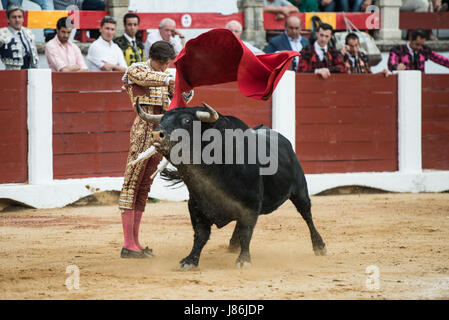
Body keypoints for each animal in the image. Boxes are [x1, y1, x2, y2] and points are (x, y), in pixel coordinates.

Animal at [134, 100, 326, 270]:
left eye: (187, 121)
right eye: (162, 119)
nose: (157, 134)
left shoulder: (251, 204)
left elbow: (247, 231)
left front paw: (244, 260)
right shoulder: (196, 205)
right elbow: (201, 235)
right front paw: (190, 260)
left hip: (300, 190)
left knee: (306, 214)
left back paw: (319, 246)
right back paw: (233, 244)